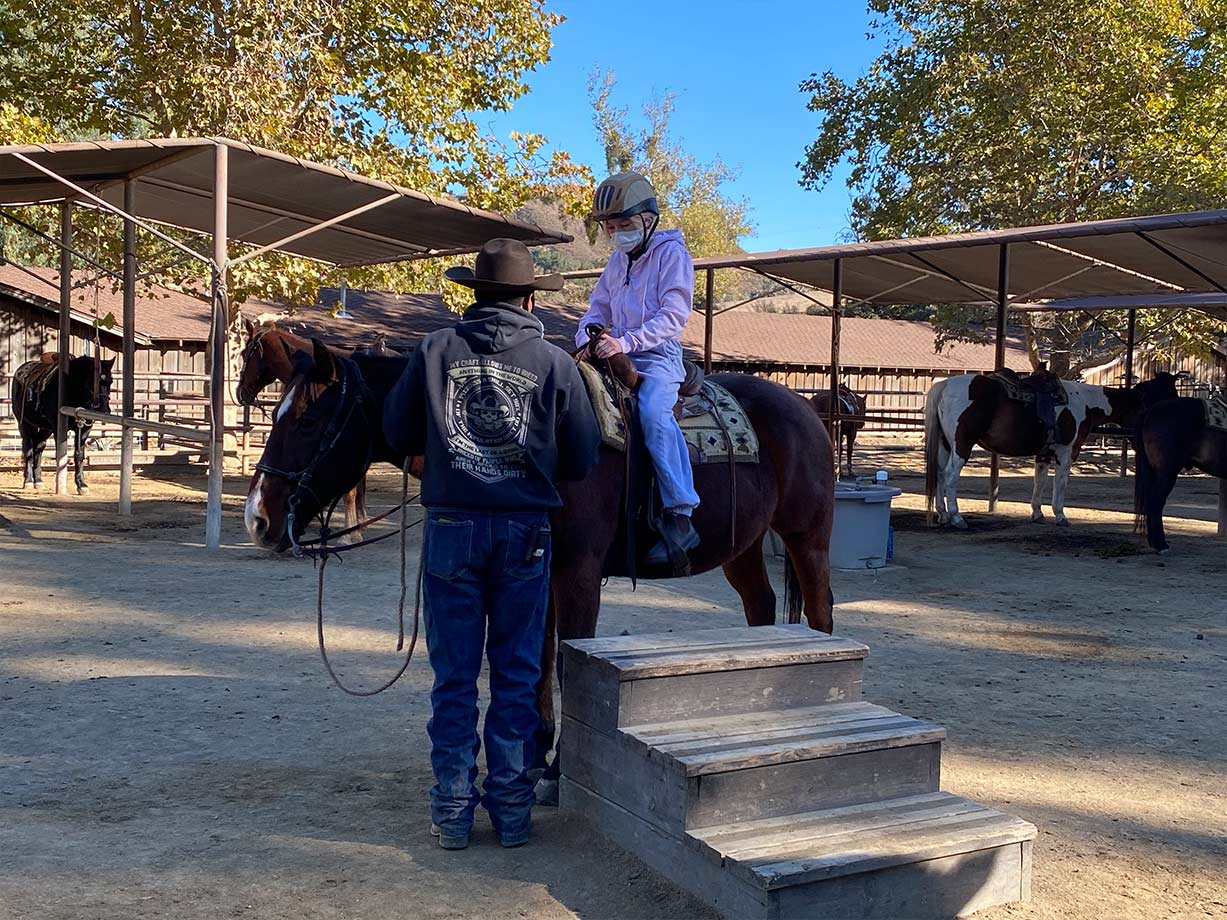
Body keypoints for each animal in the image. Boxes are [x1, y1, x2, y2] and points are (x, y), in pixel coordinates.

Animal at [9, 355, 114, 498]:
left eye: (111, 382)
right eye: (93, 382)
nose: (104, 410)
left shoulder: (84, 430)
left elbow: (79, 455)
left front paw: (82, 485)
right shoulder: (58, 428)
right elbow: (60, 454)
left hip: (45, 429)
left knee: (39, 448)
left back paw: (38, 481)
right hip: (26, 425)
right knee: (28, 449)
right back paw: (29, 481)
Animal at [239, 343, 834, 804]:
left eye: (308, 419)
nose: (258, 519)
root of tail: (804, 409)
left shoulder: (578, 573)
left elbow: (571, 661)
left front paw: (556, 769)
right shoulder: (541, 569)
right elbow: (541, 659)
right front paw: (534, 754)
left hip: (806, 536)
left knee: (821, 612)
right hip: (743, 547)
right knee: (761, 608)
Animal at [922, 372, 1173, 529]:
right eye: (1146, 406)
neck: (1084, 402)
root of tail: (945, 385)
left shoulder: (1043, 454)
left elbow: (1039, 481)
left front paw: (1037, 514)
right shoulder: (1066, 452)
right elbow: (1060, 483)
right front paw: (1060, 516)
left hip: (946, 444)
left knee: (940, 475)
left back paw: (943, 515)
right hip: (962, 445)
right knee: (950, 476)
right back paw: (956, 518)